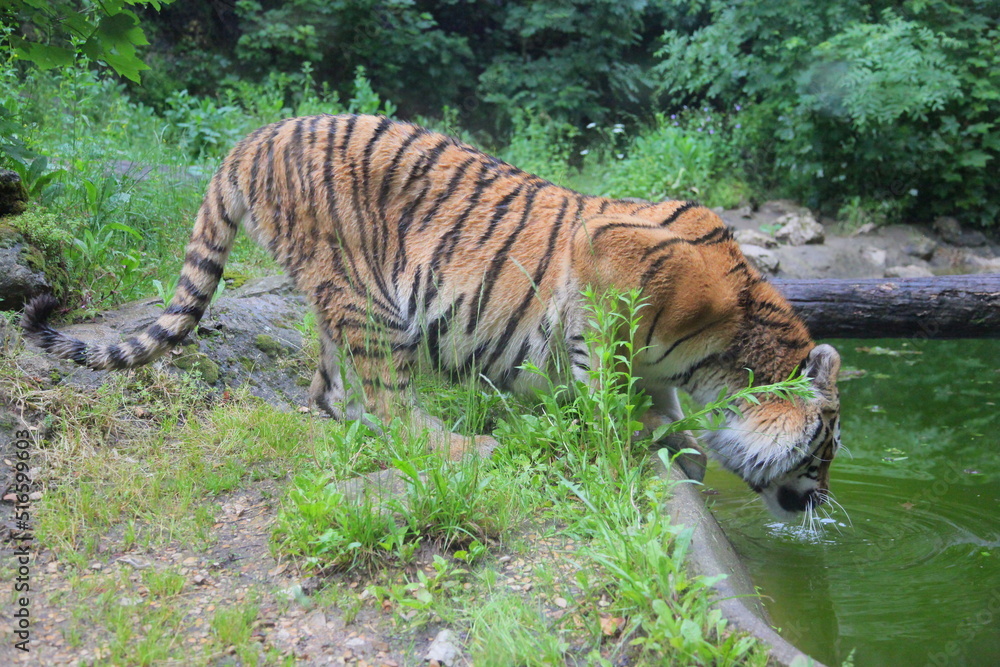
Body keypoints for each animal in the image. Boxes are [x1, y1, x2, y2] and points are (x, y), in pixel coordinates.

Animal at [21, 113, 842, 519]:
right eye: (827, 449)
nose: (824, 503)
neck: (727, 356)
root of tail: (252, 138)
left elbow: (662, 409)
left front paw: (675, 450)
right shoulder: (609, 264)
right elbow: (605, 386)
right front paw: (615, 443)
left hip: (336, 300)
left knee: (329, 393)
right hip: (373, 300)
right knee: (392, 407)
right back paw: (470, 447)